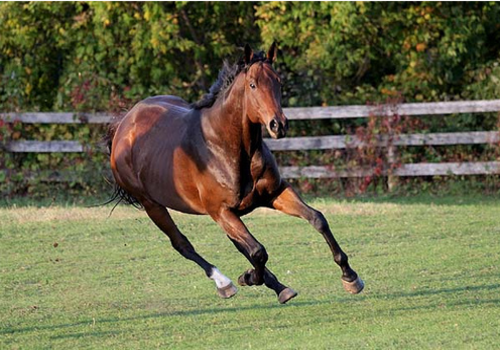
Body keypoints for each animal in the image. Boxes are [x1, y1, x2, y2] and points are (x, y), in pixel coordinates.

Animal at [106, 43, 364, 304]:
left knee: (240, 245)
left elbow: (317, 219)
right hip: (153, 205)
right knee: (182, 244)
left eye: (278, 82)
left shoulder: (274, 194)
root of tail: (124, 125)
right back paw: (225, 283)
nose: (278, 125)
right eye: (252, 84)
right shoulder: (221, 210)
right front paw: (249, 277)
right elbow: (258, 251)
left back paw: (278, 287)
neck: (225, 147)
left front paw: (351, 277)